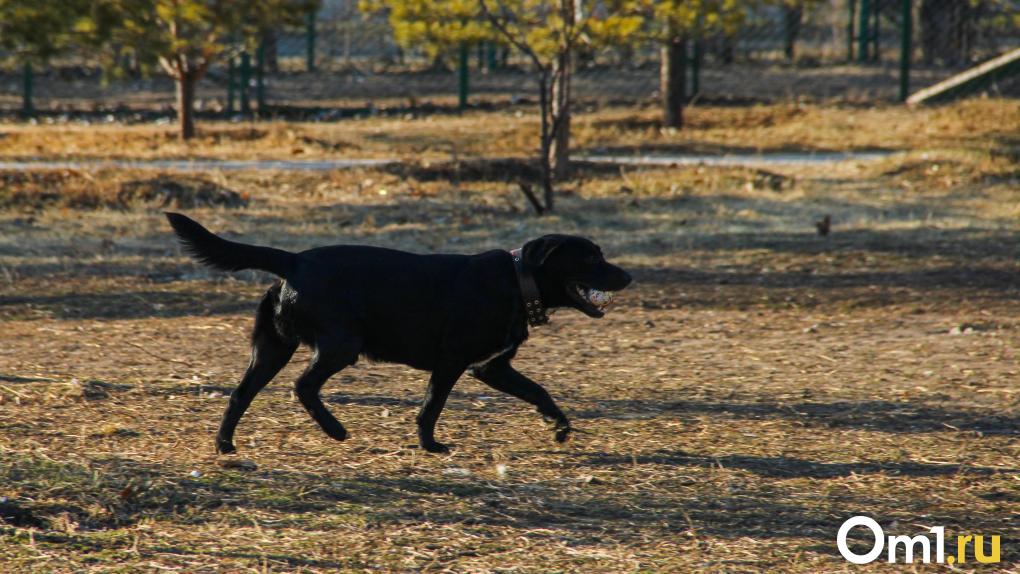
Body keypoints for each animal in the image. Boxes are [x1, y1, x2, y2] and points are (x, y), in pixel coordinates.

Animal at [165, 213, 628, 456]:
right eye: (591, 257)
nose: (628, 276)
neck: (518, 281)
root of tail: (293, 260)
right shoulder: (453, 362)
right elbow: (431, 406)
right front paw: (431, 445)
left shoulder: (490, 368)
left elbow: (539, 391)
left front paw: (560, 427)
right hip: (342, 345)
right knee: (303, 386)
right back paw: (335, 430)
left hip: (273, 349)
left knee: (241, 394)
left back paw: (225, 445)